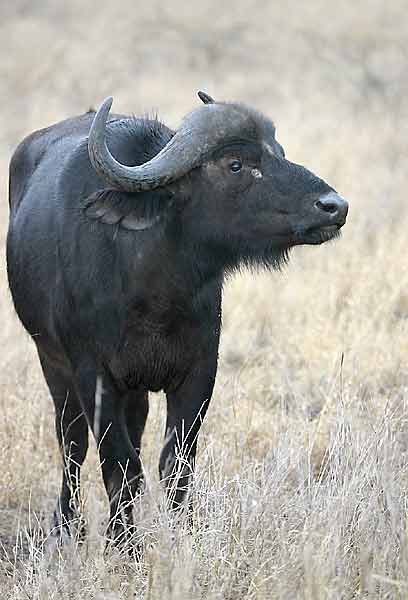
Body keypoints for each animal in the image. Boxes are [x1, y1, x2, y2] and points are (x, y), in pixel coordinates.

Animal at [7, 92, 348, 552]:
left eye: (279, 151)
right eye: (236, 163)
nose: (334, 206)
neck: (154, 292)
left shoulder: (198, 373)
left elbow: (176, 466)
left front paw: (178, 536)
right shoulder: (93, 375)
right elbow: (119, 466)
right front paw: (123, 545)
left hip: (134, 389)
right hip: (53, 363)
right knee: (72, 444)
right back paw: (66, 526)